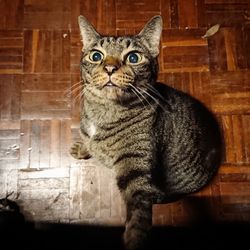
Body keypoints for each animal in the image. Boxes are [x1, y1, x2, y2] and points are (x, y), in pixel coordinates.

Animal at [71, 15, 223, 250]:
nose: (110, 68)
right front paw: (82, 149)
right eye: (96, 56)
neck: (105, 112)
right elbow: (89, 143)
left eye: (133, 57)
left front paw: (135, 237)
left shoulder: (134, 163)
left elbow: (138, 204)